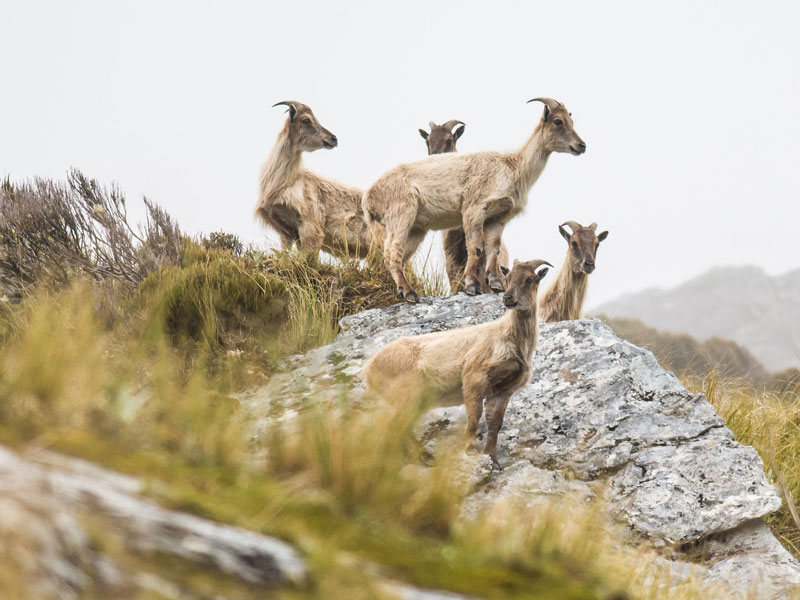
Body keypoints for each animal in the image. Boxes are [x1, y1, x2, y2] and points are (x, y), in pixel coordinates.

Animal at [368, 258, 552, 464]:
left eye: (529, 279)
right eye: (508, 277)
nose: (507, 298)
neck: (510, 337)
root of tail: (369, 369)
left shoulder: (504, 390)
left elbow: (494, 422)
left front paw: (492, 458)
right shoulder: (474, 376)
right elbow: (474, 416)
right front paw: (469, 449)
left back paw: (423, 456)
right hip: (406, 394)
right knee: (395, 426)